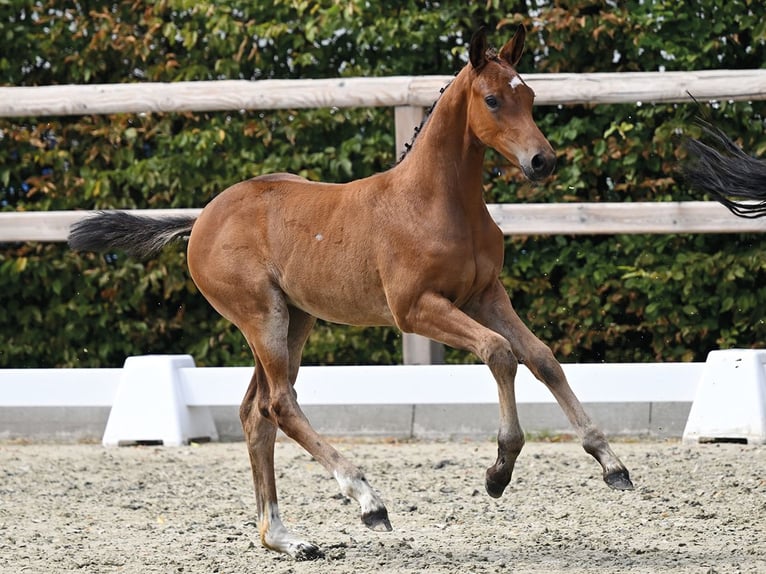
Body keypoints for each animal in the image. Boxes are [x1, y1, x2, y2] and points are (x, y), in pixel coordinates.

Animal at [68, 27, 633, 560]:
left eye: (531, 95)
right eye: (492, 99)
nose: (542, 161)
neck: (436, 202)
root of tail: (201, 218)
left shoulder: (486, 296)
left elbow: (542, 358)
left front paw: (610, 463)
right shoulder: (416, 310)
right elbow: (499, 353)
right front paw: (499, 470)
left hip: (296, 319)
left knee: (256, 413)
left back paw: (286, 540)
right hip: (262, 317)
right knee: (280, 404)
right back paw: (367, 500)